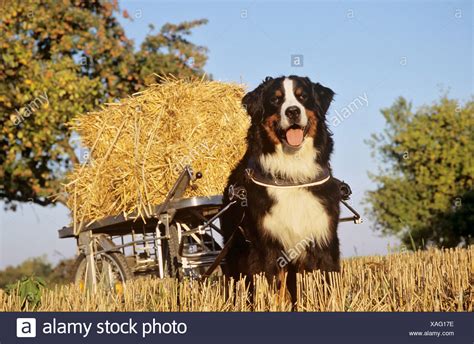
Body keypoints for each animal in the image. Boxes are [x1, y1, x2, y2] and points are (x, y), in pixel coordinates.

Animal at [222, 75, 340, 304]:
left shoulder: (323, 240)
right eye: (276, 100)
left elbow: (326, 288)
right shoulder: (266, 247)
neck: (291, 176)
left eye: (303, 96)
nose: (293, 111)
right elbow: (273, 291)